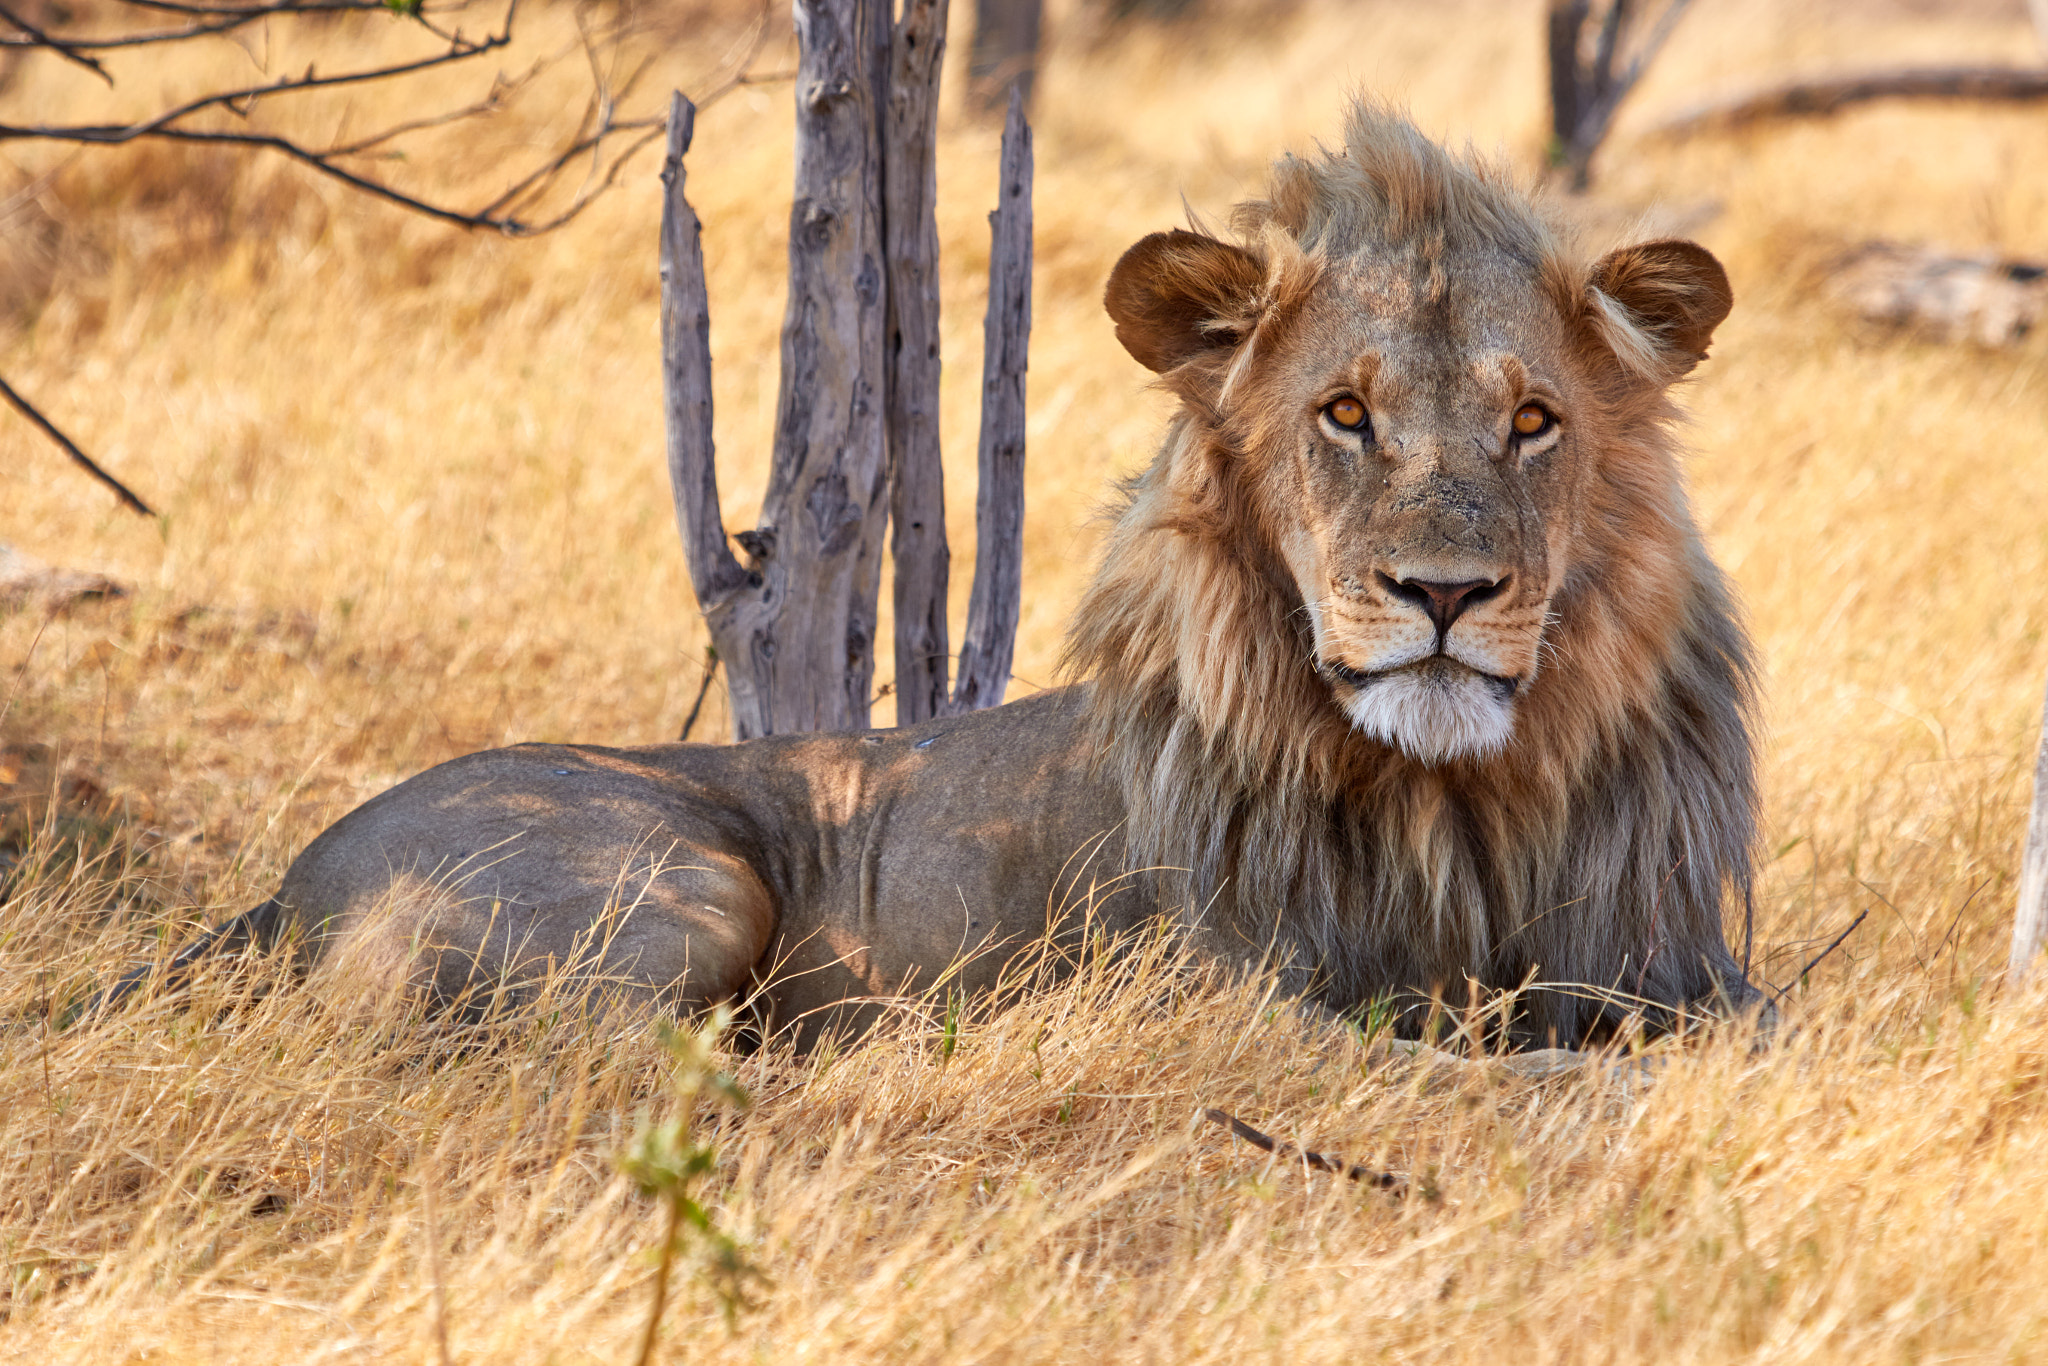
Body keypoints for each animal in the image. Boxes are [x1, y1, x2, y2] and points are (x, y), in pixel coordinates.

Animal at [119, 104, 1769, 1048]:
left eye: (1534, 420)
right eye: (1344, 414)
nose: (1443, 593)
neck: (1463, 800)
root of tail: (276, 885)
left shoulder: (1672, 958)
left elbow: (1746, 1028)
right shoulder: (1235, 994)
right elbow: (1460, 1056)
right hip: (684, 877)